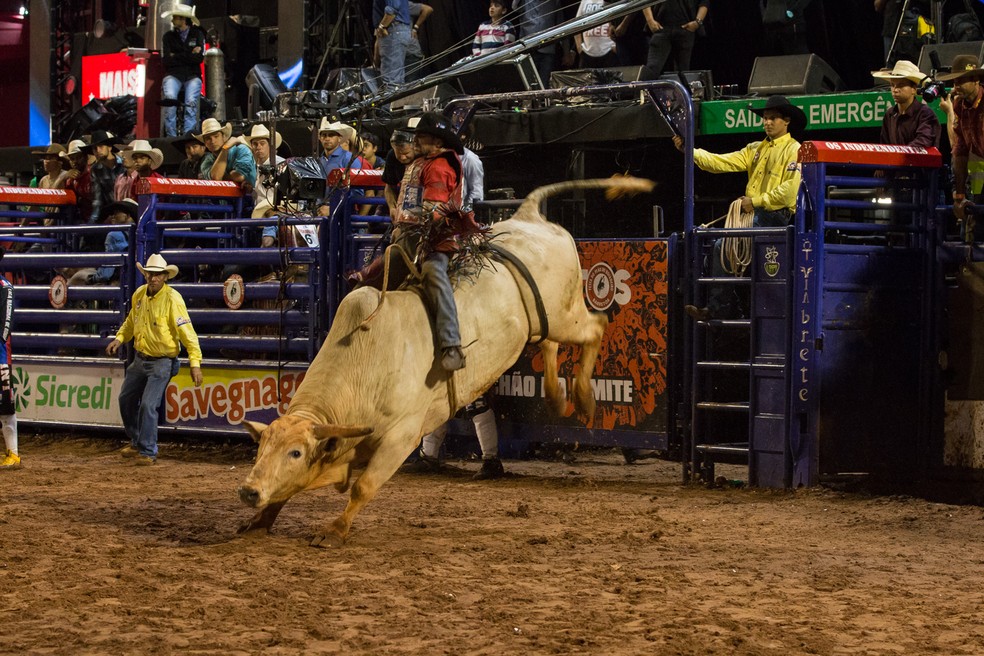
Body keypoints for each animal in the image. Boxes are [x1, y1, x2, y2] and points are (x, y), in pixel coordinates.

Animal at [237, 177, 652, 544]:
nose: (248, 491)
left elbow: (363, 486)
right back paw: (555, 395)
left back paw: (583, 398)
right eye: (261, 447)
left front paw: (334, 531)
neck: (363, 369)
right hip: (546, 319)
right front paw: (259, 521)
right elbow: (289, 491)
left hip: (566, 314)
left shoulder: (401, 436)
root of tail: (529, 216)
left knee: (596, 328)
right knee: (550, 343)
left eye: (295, 452)